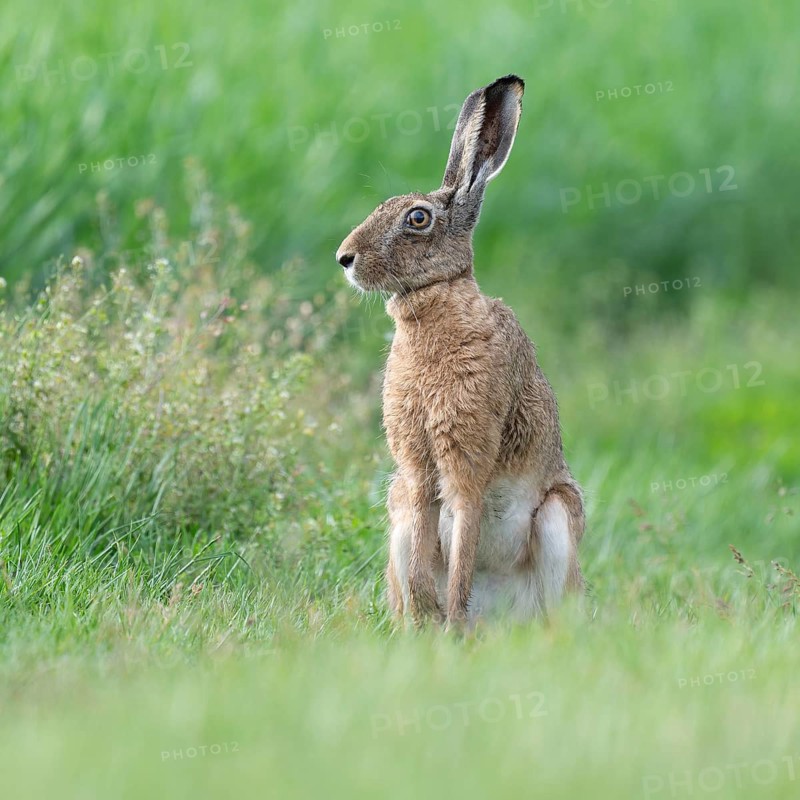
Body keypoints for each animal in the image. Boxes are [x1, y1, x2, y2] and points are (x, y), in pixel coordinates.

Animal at [335, 75, 585, 627]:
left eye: (418, 218)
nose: (344, 258)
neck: (434, 306)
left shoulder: (468, 450)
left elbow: (465, 535)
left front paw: (447, 616)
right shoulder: (415, 466)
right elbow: (425, 548)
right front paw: (429, 609)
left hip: (558, 519)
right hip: (396, 507)